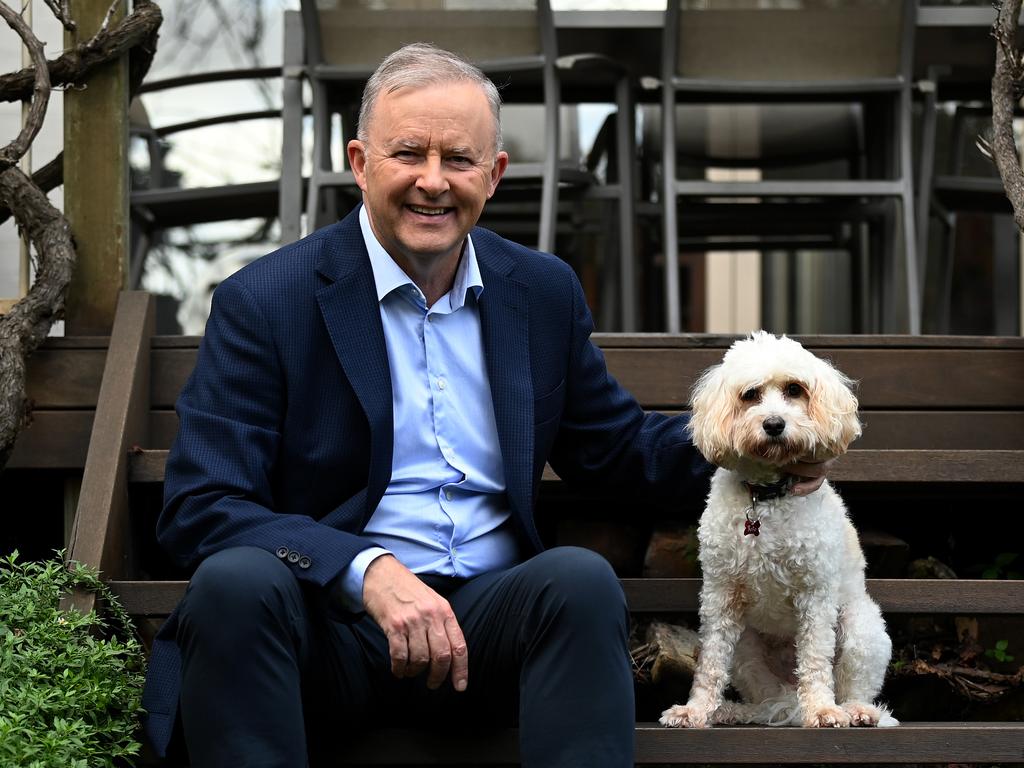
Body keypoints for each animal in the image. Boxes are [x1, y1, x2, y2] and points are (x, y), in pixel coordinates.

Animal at [659, 333, 892, 729]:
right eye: (750, 394)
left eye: (794, 389)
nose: (773, 424)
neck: (765, 497)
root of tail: (789, 698)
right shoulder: (720, 594)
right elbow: (710, 664)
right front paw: (696, 710)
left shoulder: (815, 593)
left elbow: (814, 659)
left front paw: (823, 710)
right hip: (747, 649)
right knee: (765, 699)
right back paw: (735, 711)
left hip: (861, 628)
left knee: (852, 685)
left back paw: (854, 710)